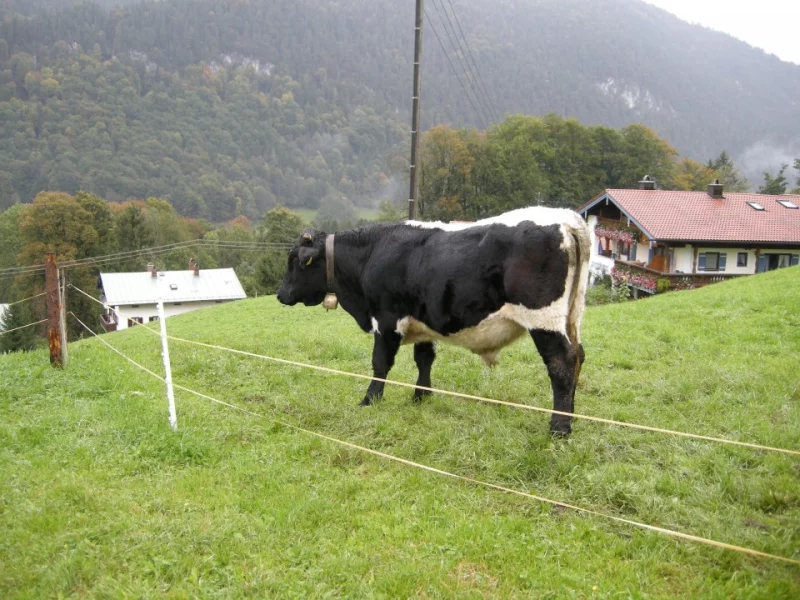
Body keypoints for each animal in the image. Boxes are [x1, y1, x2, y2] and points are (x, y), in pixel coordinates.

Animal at [278, 209, 592, 434]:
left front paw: (370, 399)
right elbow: (424, 359)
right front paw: (421, 396)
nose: (281, 294)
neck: (371, 254)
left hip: (544, 320)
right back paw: (571, 415)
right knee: (578, 356)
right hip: (571, 319)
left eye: (295, 261)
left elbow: (380, 363)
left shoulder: (386, 320)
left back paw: (559, 427)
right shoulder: (423, 321)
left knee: (561, 364)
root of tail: (564, 217)